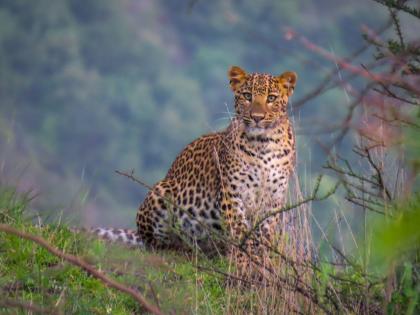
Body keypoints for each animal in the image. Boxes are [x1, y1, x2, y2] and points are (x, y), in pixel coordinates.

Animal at [92, 65, 296, 262]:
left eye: (271, 98)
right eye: (247, 96)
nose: (257, 117)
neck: (263, 145)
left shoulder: (273, 199)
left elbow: (264, 237)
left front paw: (262, 264)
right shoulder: (232, 194)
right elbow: (239, 234)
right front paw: (243, 265)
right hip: (161, 192)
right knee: (156, 245)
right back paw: (178, 251)